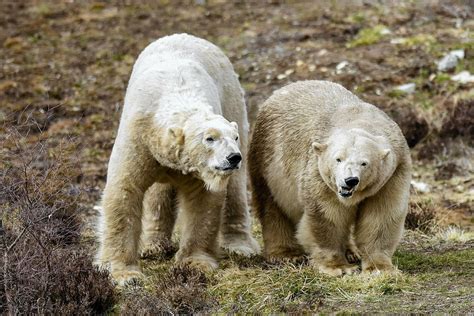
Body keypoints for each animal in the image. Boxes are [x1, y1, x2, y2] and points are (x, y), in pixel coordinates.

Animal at [96, 34, 260, 284]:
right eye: (209, 138)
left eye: (233, 137)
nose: (233, 157)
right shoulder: (139, 139)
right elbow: (125, 190)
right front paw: (124, 274)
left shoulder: (200, 171)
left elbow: (203, 202)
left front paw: (195, 263)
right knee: (157, 194)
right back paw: (152, 246)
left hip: (232, 98)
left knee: (235, 188)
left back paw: (239, 245)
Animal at [248, 80, 412, 276]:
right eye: (338, 159)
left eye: (364, 163)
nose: (350, 180)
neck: (359, 119)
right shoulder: (319, 171)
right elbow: (327, 214)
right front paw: (339, 267)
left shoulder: (392, 174)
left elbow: (381, 216)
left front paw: (379, 269)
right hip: (268, 162)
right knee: (272, 207)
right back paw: (287, 254)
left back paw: (351, 252)